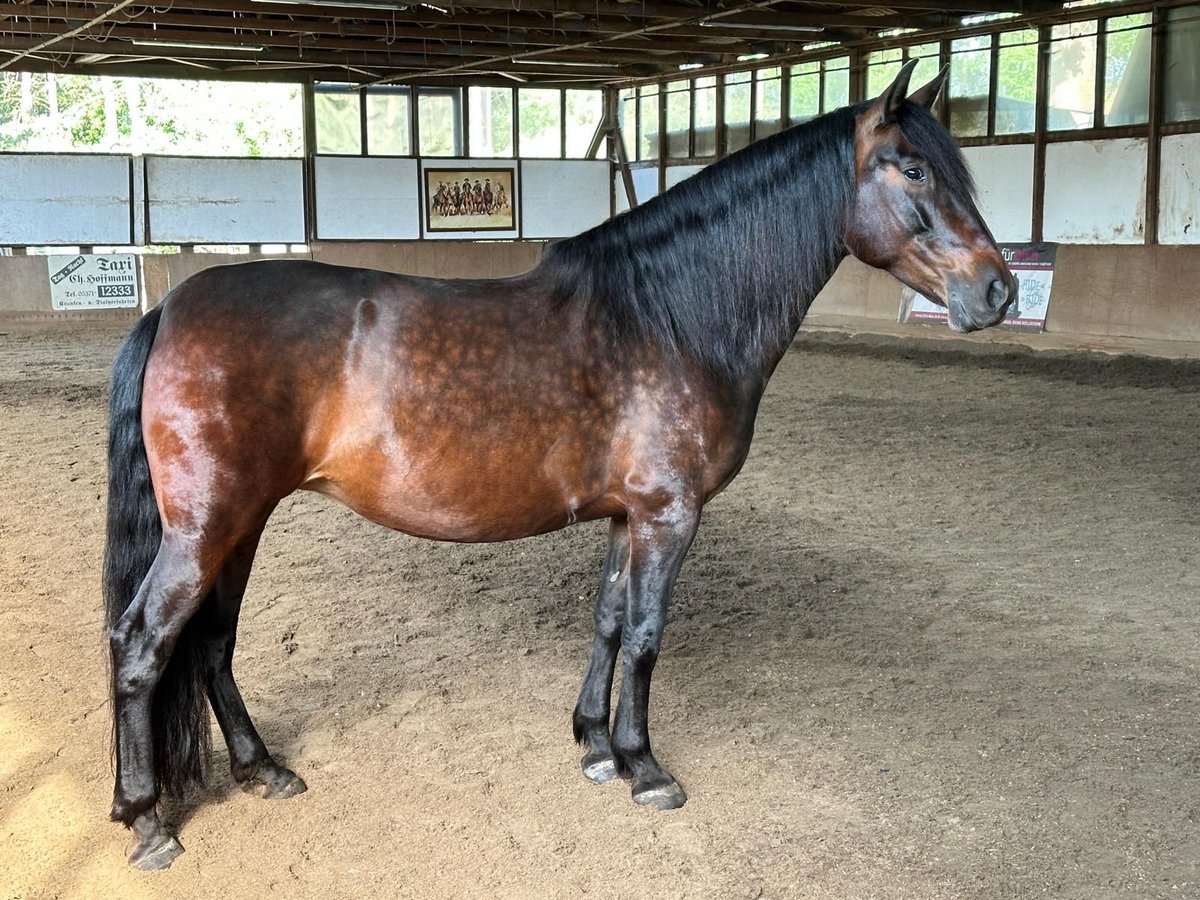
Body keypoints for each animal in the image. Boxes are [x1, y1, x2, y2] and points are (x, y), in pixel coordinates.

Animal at [108, 58, 1017, 873]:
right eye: (913, 167)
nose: (1000, 292)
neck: (669, 316)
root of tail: (171, 307)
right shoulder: (669, 514)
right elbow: (647, 635)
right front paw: (646, 767)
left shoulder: (628, 515)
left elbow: (609, 620)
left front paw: (595, 745)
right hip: (208, 527)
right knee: (144, 640)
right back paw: (147, 821)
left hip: (241, 523)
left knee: (213, 642)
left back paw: (262, 770)